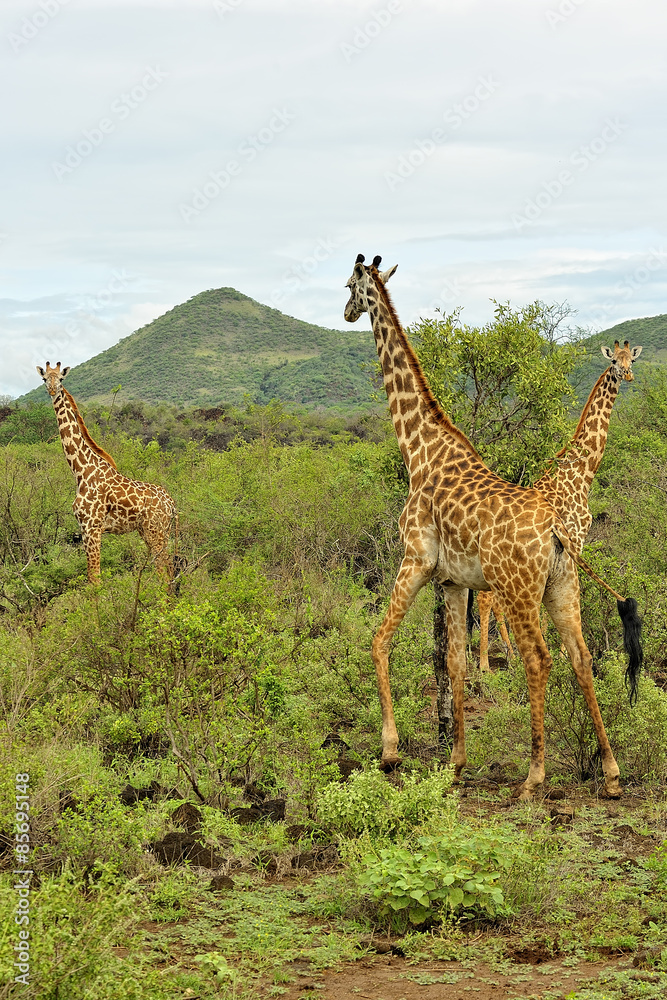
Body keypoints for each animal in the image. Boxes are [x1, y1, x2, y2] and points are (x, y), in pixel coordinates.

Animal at [37, 362, 177, 587]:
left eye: (61, 379)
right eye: (44, 379)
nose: (52, 390)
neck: (80, 470)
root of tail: (171, 503)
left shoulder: (92, 527)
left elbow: (94, 579)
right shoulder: (84, 529)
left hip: (155, 530)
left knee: (163, 572)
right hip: (153, 531)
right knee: (169, 570)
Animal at [477, 339, 643, 671]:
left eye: (630, 360)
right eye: (614, 362)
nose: (628, 375)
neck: (582, 472)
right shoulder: (575, 538)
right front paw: (567, 655)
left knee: (491, 599)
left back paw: (508, 656)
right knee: (486, 599)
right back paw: (486, 665)